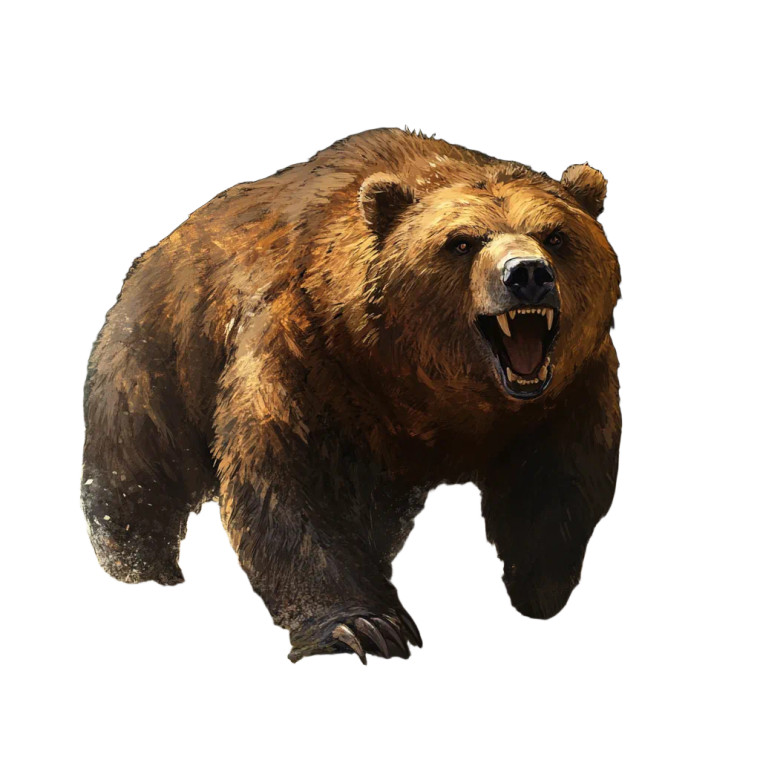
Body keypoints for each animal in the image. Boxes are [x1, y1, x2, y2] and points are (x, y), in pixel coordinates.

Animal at [81, 127, 621, 663]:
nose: (527, 274)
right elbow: (288, 481)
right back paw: (141, 567)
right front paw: (363, 625)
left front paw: (538, 588)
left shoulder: (568, 392)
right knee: (134, 479)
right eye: (462, 241)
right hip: (154, 362)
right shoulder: (305, 354)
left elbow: (560, 482)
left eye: (556, 235)